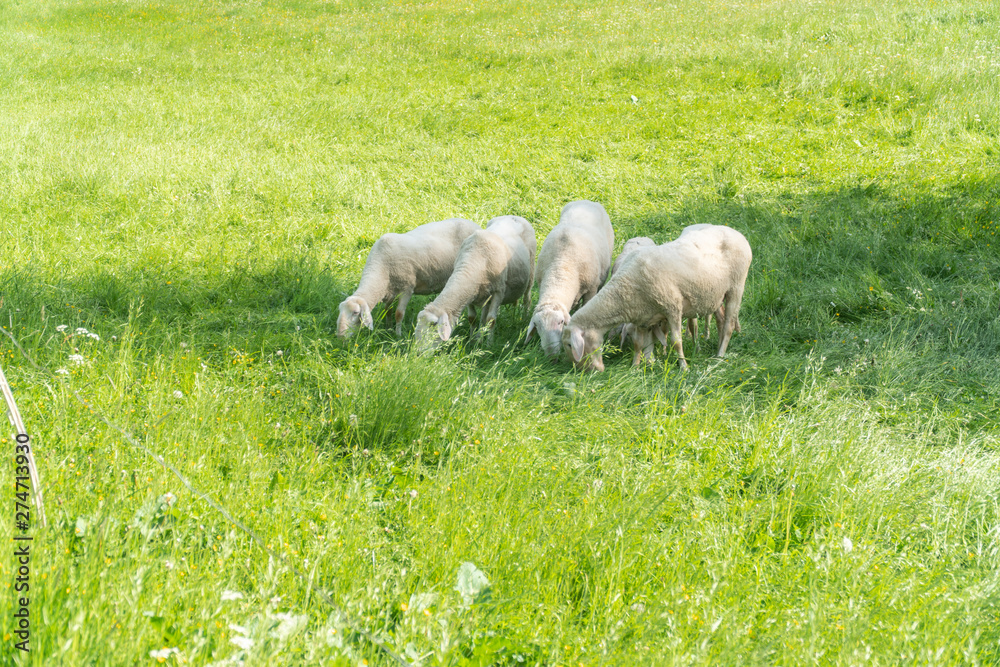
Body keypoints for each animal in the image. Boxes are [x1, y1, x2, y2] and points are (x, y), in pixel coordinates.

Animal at [337, 218, 481, 337]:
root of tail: (474, 224)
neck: (381, 268)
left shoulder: (406, 288)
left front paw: (398, 335)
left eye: (355, 313)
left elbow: (398, 314)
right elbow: (387, 310)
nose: (340, 336)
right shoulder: (390, 289)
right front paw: (388, 328)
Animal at [415, 216, 536, 347]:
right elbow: (472, 318)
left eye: (433, 325)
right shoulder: (470, 293)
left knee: (527, 299)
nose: (418, 351)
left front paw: (489, 344)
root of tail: (513, 216)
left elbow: (491, 319)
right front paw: (472, 341)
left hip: (530, 273)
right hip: (486, 292)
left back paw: (524, 318)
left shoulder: (499, 291)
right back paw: (479, 337)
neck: (475, 261)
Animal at [562, 224, 752, 371]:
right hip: (716, 294)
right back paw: (717, 349)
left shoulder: (673, 307)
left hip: (737, 287)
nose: (584, 371)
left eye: (570, 345)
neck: (624, 290)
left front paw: (684, 367)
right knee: (721, 320)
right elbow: (638, 343)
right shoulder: (642, 317)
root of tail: (737, 233)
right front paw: (635, 367)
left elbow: (676, 341)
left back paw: (719, 356)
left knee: (728, 325)